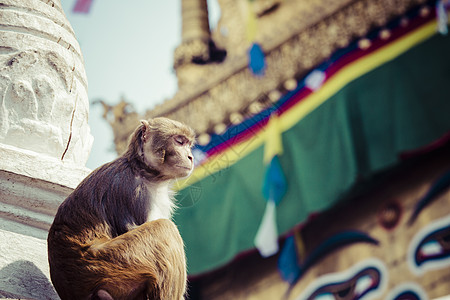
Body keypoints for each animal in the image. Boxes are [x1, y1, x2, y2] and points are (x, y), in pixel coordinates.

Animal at [47, 117, 195, 300]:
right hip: (107, 262)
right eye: (179, 141)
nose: (190, 157)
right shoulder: (134, 191)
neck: (142, 169)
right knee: (164, 227)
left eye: (188, 144)